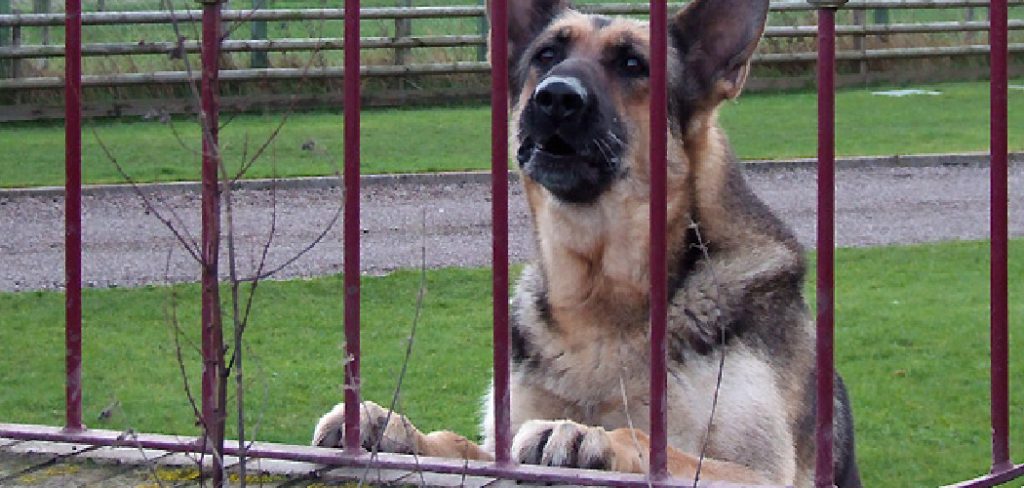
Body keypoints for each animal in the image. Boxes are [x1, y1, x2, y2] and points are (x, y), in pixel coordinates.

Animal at [311, 0, 856, 482]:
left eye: (634, 64)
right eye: (546, 55)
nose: (555, 97)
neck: (600, 295)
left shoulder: (758, 472)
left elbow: (653, 444)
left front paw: (583, 434)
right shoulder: (501, 444)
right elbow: (463, 445)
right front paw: (391, 427)